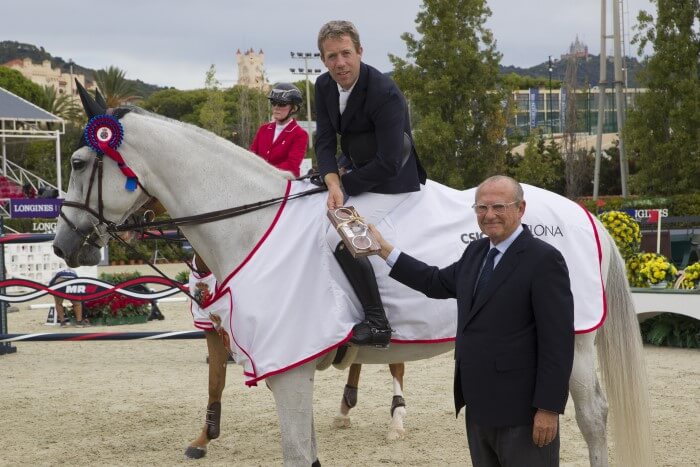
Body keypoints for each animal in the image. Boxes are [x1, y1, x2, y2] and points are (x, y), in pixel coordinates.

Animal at [52, 97, 652, 466]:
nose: (61, 244)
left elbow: (297, 453)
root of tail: (586, 213)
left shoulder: (289, 373)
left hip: (571, 340)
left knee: (591, 417)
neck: (251, 225)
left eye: (79, 162)